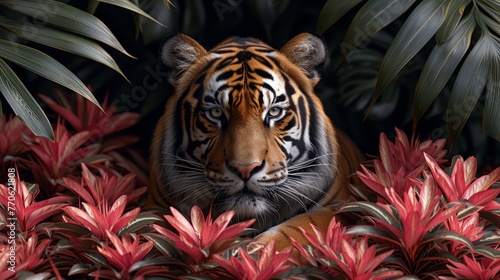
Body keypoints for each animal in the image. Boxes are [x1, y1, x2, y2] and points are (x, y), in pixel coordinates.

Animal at [146, 32, 364, 249]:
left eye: (274, 111)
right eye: (216, 112)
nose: (245, 169)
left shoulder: (339, 208)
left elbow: (298, 230)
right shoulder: (156, 207)